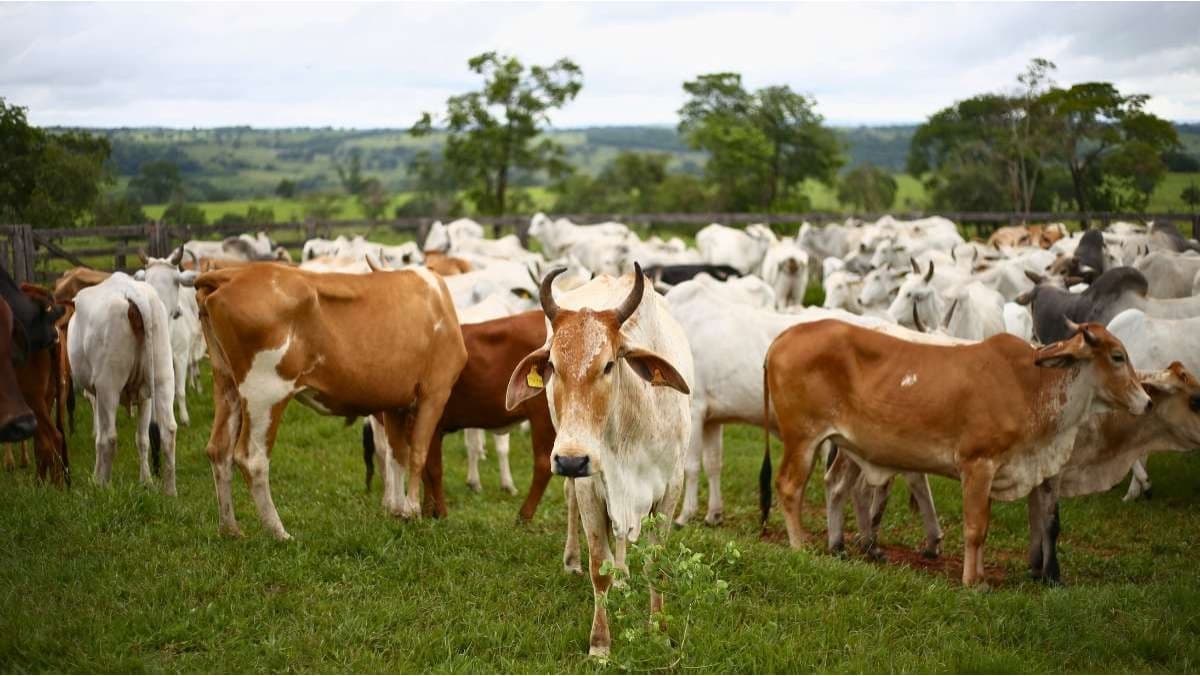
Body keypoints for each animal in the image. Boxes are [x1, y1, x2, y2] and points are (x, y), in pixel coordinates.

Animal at [67, 273, 178, 494]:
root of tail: (131, 292)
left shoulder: (96, 396)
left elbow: (99, 436)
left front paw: (96, 478)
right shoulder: (145, 397)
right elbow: (142, 439)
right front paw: (146, 481)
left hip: (108, 386)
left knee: (109, 438)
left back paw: (103, 487)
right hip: (162, 377)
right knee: (168, 431)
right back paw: (170, 492)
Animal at [194, 263, 467, 539]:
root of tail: (234, 273)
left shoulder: (395, 403)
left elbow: (397, 455)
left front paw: (398, 511)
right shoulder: (435, 391)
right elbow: (418, 453)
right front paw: (412, 511)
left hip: (226, 383)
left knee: (219, 450)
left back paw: (230, 529)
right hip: (265, 392)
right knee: (252, 459)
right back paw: (279, 532)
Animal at [505, 264, 692, 656]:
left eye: (608, 365)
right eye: (552, 365)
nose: (571, 461)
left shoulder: (671, 486)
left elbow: (657, 563)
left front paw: (659, 630)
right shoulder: (590, 485)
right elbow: (598, 567)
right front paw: (600, 645)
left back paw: (624, 576)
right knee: (572, 504)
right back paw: (573, 560)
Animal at [761, 318, 1150, 586]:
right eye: (1118, 356)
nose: (1146, 401)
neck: (1032, 386)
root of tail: (784, 336)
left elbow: (992, 526)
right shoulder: (978, 465)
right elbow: (975, 528)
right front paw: (972, 581)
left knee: (832, 486)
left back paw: (837, 546)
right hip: (802, 438)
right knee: (789, 487)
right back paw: (800, 546)